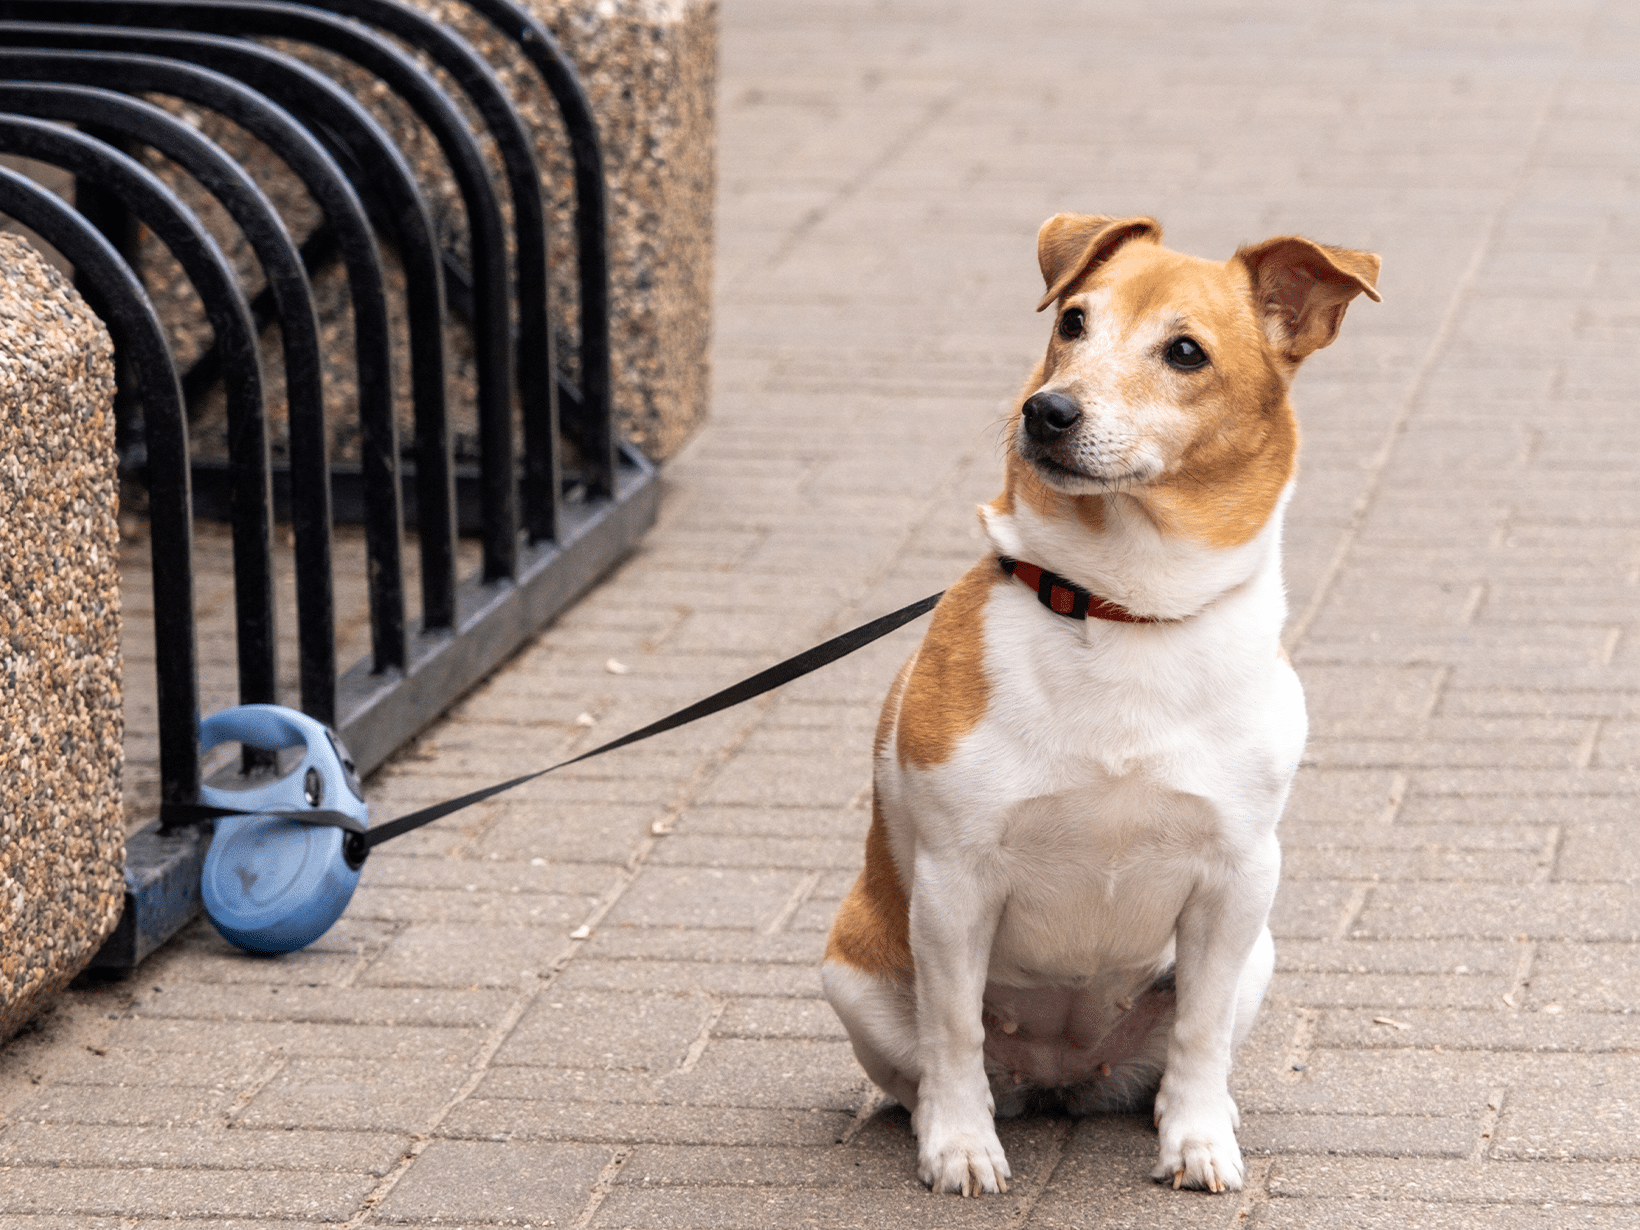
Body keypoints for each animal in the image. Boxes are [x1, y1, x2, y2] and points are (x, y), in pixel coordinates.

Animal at [826, 216, 1377, 1200]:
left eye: (1185, 351)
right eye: (1072, 321)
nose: (1047, 411)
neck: (1123, 608)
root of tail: (1060, 1075)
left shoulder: (1239, 879)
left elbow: (1199, 1033)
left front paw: (1197, 1141)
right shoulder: (954, 883)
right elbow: (952, 1029)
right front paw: (960, 1147)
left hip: (1259, 954)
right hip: (852, 973)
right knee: (929, 1062)